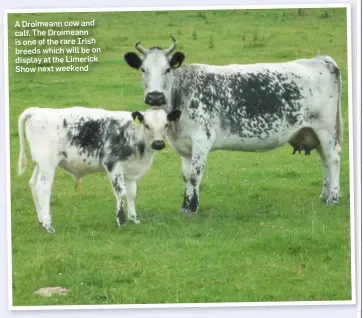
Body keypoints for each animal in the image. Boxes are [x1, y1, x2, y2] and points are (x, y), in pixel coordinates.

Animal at [17, 105, 182, 232]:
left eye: (166, 124)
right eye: (147, 125)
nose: (158, 144)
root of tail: (38, 111)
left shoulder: (129, 170)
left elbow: (132, 194)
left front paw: (134, 218)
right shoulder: (113, 164)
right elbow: (121, 192)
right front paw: (121, 220)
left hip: (39, 164)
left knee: (33, 185)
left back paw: (41, 220)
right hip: (47, 164)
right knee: (43, 189)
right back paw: (48, 225)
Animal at [125, 35, 344, 214]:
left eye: (167, 69)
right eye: (143, 69)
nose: (154, 96)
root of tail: (321, 60)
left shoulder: (202, 139)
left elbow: (195, 176)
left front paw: (193, 208)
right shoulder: (185, 145)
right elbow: (186, 176)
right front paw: (185, 206)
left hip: (325, 129)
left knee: (333, 159)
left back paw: (333, 198)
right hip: (313, 131)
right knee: (324, 159)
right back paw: (324, 195)